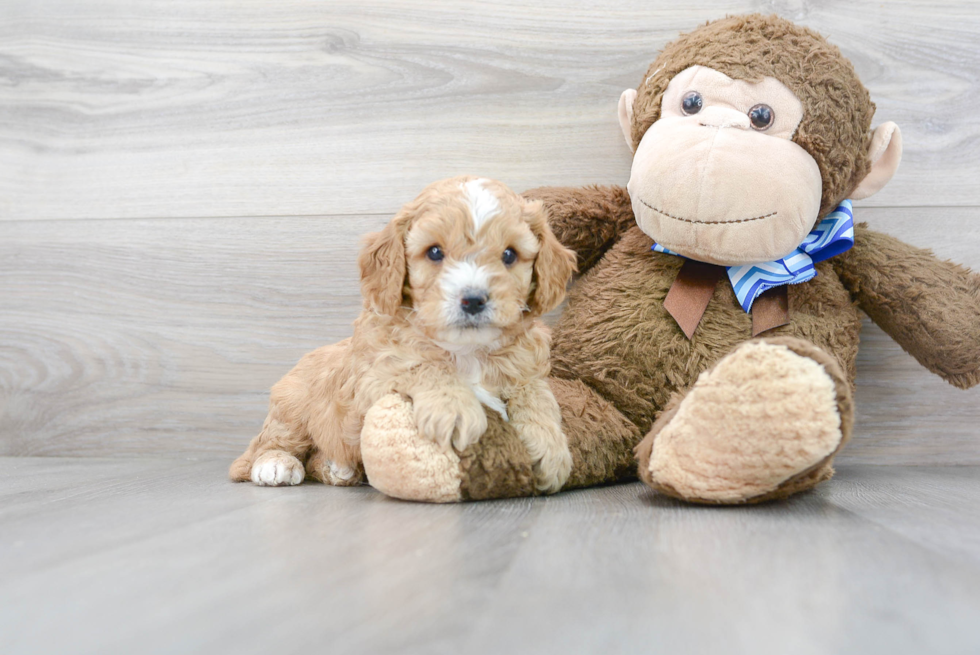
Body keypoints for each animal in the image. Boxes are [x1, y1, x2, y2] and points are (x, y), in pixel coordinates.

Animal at [231, 177, 580, 494]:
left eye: (509, 255)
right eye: (434, 252)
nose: (473, 300)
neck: (466, 351)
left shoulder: (527, 366)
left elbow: (537, 394)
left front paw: (550, 446)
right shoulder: (373, 377)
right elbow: (423, 365)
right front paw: (454, 408)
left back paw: (338, 469)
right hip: (293, 407)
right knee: (261, 448)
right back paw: (275, 464)